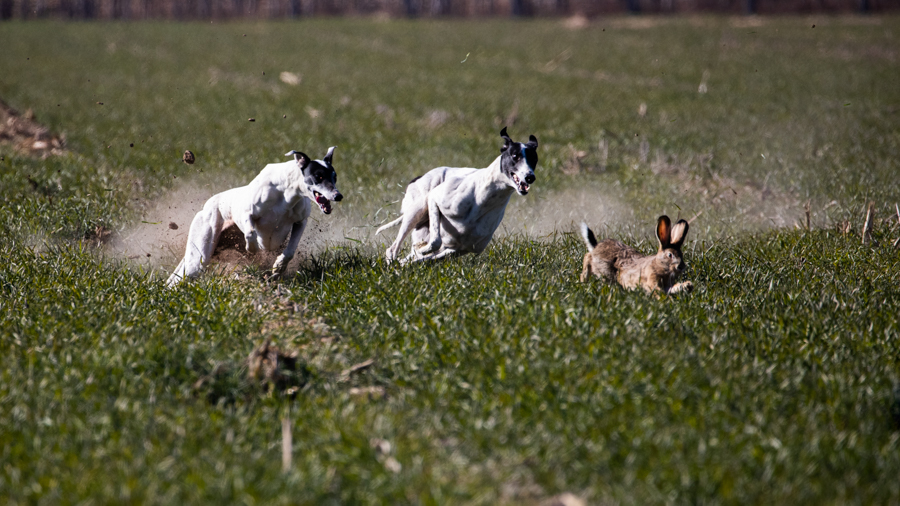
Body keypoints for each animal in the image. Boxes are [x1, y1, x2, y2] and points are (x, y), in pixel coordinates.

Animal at [165, 148, 342, 286]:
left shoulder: (300, 221)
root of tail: (206, 207)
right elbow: (250, 232)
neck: (286, 192)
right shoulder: (246, 214)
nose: (338, 196)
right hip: (200, 254)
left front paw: (278, 267)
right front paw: (254, 247)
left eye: (335, 177)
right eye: (318, 176)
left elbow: (290, 251)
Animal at [374, 127, 536, 264]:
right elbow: (434, 242)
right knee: (392, 250)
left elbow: (423, 257)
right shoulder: (435, 198)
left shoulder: (457, 249)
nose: (530, 177)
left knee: (409, 257)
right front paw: (423, 249)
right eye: (515, 156)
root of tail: (418, 177)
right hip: (415, 212)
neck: (485, 198)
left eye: (534, 159)